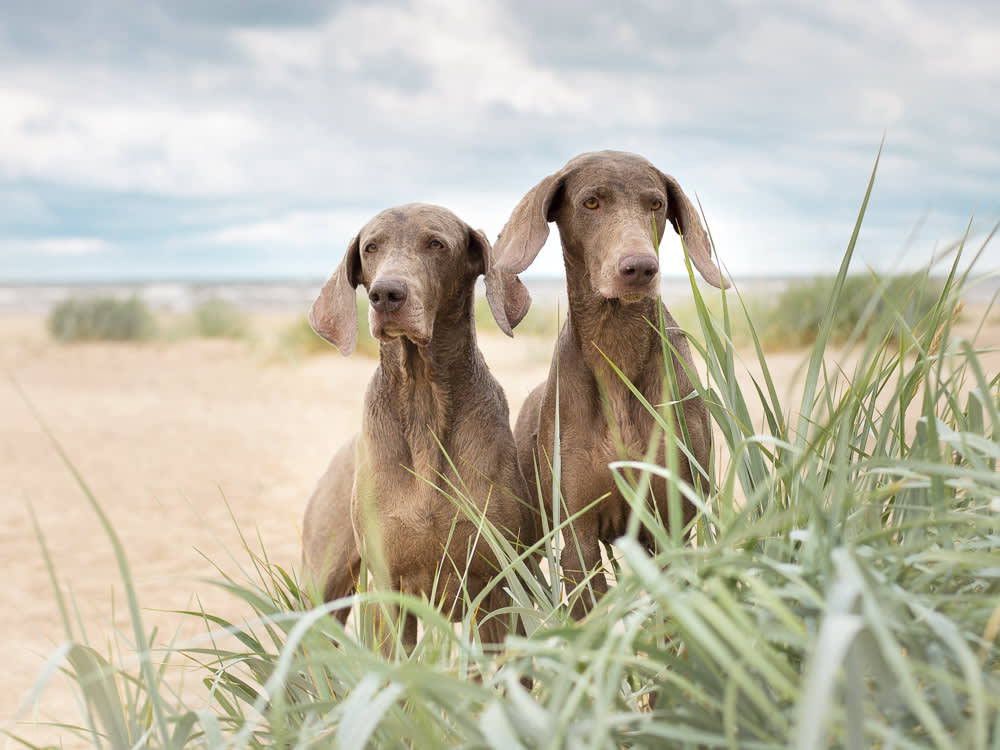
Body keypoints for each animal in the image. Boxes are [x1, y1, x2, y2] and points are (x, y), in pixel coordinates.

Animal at [302, 204, 536, 652]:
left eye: (436, 244)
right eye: (371, 247)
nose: (386, 294)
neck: (424, 398)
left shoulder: (495, 587)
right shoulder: (389, 590)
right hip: (323, 588)